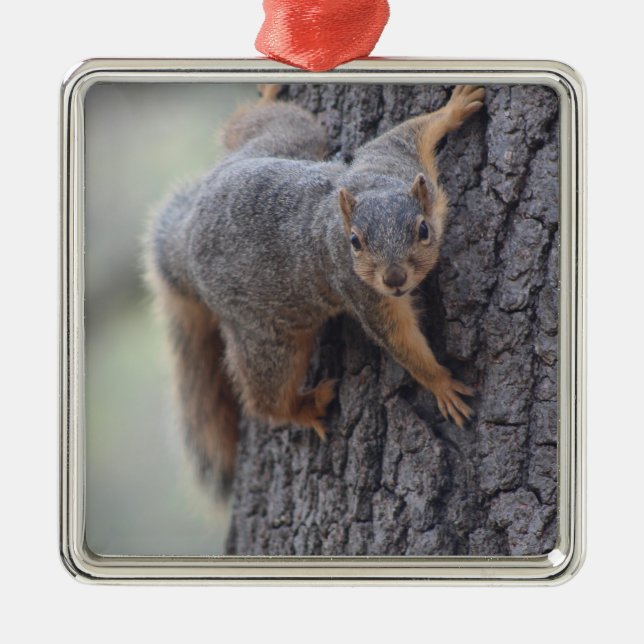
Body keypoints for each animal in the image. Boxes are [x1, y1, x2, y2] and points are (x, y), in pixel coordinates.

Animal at [148, 84, 485, 491]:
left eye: (423, 230)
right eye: (355, 242)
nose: (394, 280)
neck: (373, 186)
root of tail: (187, 239)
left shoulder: (393, 159)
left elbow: (409, 131)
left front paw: (455, 107)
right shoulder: (362, 292)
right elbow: (399, 340)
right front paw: (440, 384)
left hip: (287, 140)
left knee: (252, 127)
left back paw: (265, 98)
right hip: (267, 339)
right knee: (265, 397)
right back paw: (303, 408)